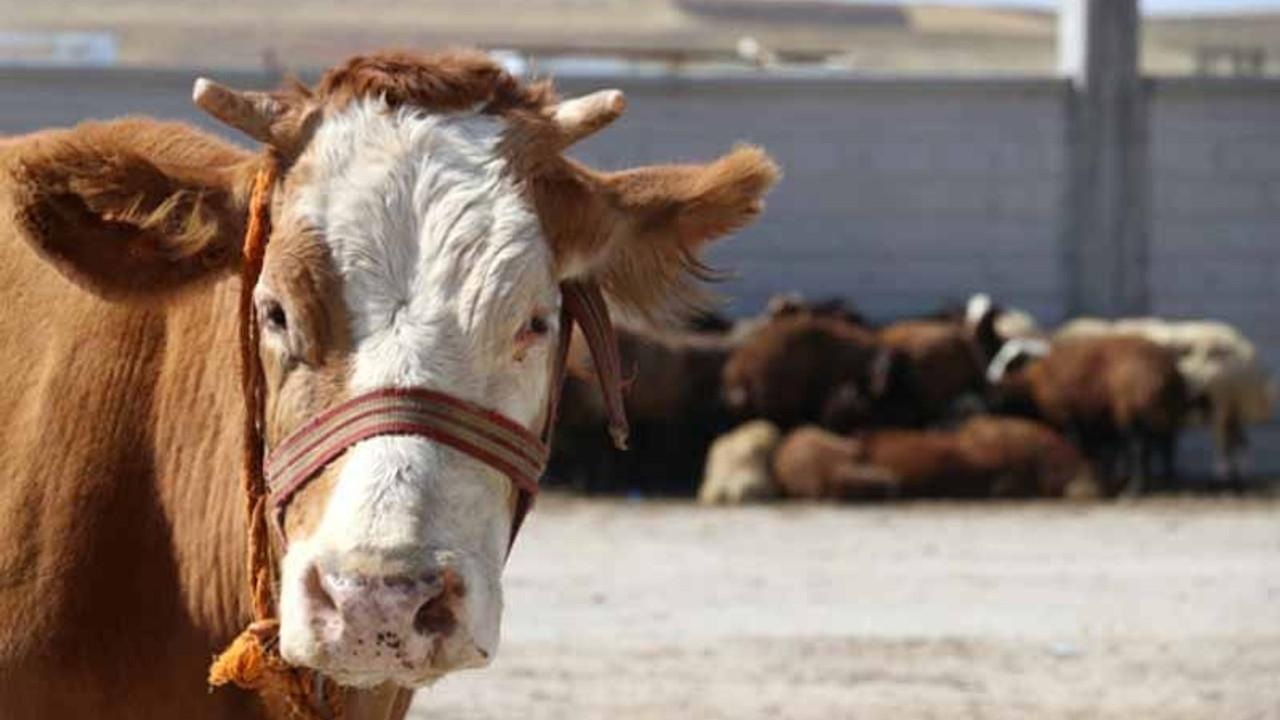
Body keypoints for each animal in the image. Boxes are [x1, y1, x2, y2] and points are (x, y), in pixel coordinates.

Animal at [988, 335, 1187, 491]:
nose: (991, 376)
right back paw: (1166, 483)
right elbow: (1095, 453)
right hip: (1164, 414)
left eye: (1012, 362)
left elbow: (1079, 448)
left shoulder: (1068, 417)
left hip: (1134, 413)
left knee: (1139, 450)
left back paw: (1135, 489)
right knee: (1166, 447)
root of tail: (1168, 371)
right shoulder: (1090, 423)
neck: (1034, 382)